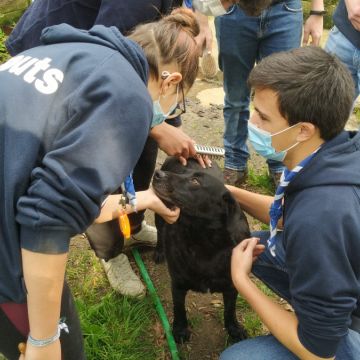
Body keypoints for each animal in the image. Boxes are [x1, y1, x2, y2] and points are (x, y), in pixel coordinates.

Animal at [152, 157, 250, 344]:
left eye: (195, 181)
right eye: (182, 173)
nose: (157, 174)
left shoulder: (231, 285)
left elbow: (230, 310)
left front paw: (234, 329)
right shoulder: (178, 284)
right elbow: (179, 308)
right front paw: (180, 329)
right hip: (160, 214)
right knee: (160, 232)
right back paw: (159, 251)